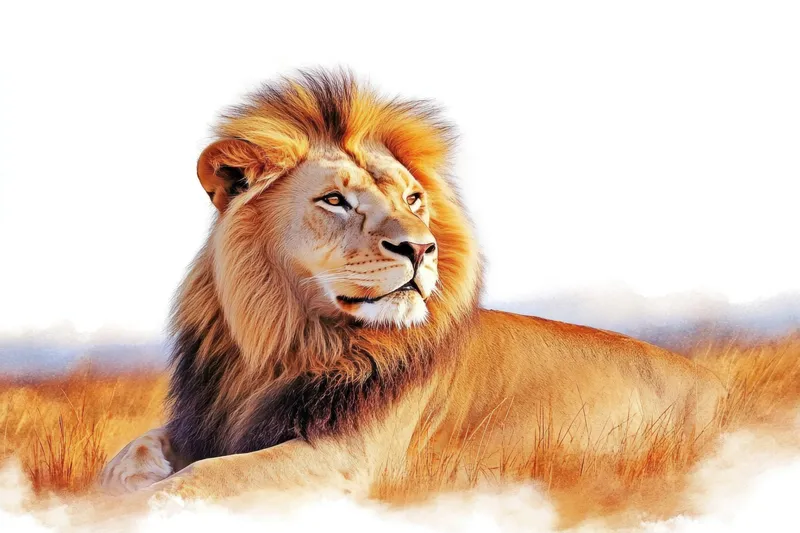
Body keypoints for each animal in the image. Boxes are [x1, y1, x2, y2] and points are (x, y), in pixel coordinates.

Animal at [100, 70, 724, 500]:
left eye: (413, 198)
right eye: (335, 200)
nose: (421, 248)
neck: (288, 342)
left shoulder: (348, 458)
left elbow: (201, 479)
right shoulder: (214, 418)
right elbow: (134, 452)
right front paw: (122, 483)